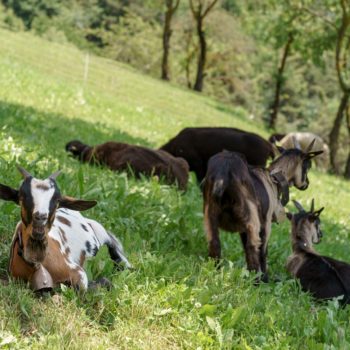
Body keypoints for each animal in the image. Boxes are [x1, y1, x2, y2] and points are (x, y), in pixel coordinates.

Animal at [204, 139, 324, 282]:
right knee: (252, 246)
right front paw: (264, 277)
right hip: (251, 218)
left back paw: (216, 272)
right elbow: (263, 250)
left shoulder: (243, 229)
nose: (307, 184)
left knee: (215, 243)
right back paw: (257, 280)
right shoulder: (266, 224)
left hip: (210, 213)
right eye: (308, 166)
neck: (275, 178)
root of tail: (225, 171)